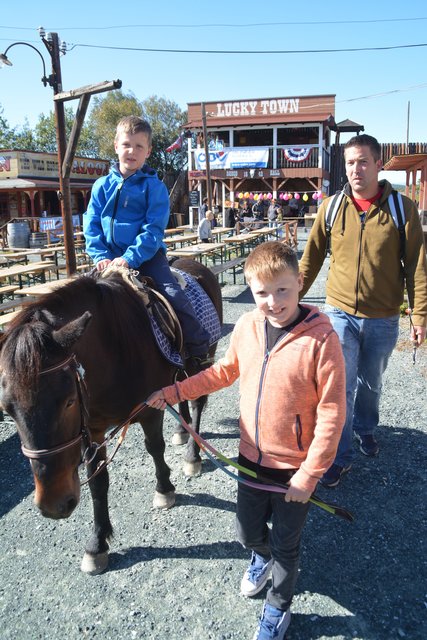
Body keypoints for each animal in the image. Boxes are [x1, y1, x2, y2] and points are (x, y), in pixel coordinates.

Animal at [0, 259, 222, 575]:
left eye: (69, 401)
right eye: (7, 409)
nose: (54, 504)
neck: (115, 346)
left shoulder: (149, 408)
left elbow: (155, 448)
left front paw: (164, 490)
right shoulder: (91, 428)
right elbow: (97, 479)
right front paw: (97, 543)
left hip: (201, 363)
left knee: (197, 404)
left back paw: (193, 455)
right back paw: (182, 432)